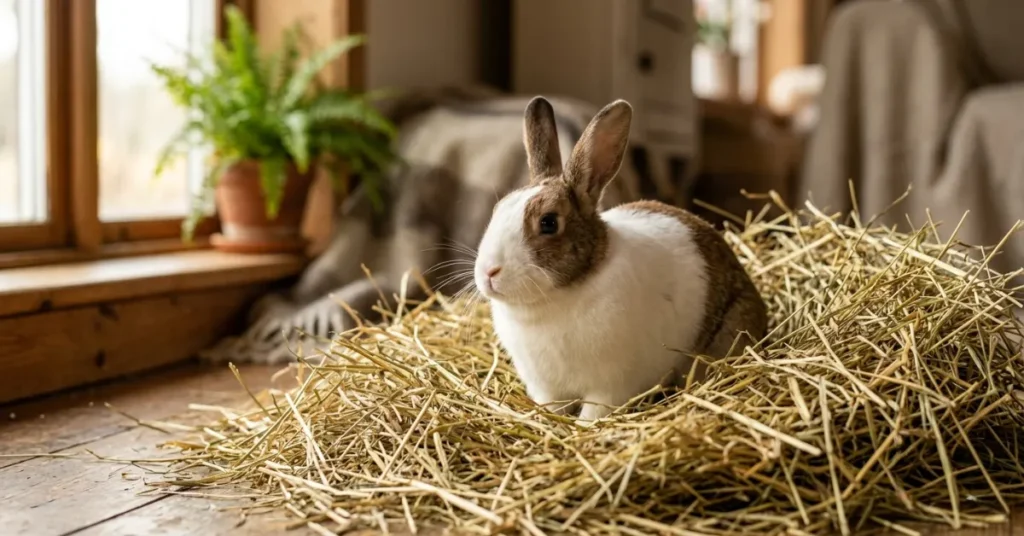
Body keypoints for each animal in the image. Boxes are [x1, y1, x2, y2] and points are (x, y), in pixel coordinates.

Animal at [473, 97, 768, 421]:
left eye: (549, 223)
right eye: (498, 208)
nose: (488, 272)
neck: (555, 299)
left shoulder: (608, 388)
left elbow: (592, 414)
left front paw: (583, 427)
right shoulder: (546, 387)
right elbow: (551, 406)